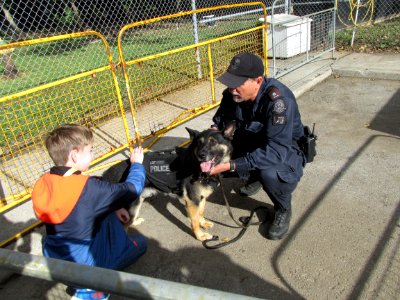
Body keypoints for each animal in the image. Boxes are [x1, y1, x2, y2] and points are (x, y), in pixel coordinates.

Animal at [102, 127, 231, 240]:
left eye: (213, 142)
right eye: (199, 143)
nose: (201, 155)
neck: (195, 164)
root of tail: (109, 172)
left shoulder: (200, 199)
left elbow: (201, 213)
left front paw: (203, 223)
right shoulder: (192, 201)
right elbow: (194, 221)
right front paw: (200, 235)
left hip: (137, 203)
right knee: (122, 226)